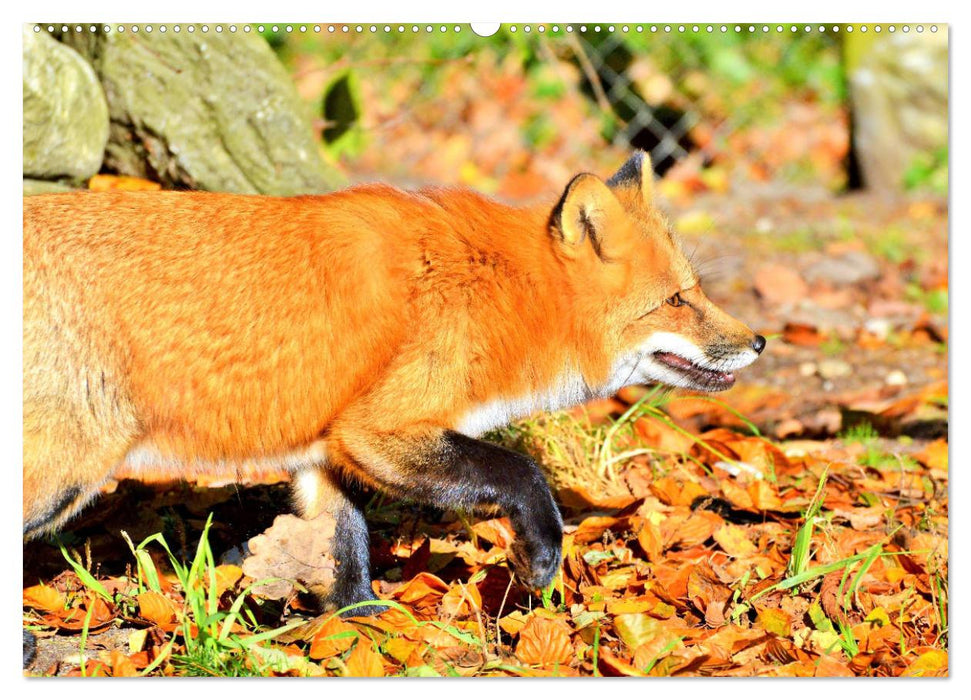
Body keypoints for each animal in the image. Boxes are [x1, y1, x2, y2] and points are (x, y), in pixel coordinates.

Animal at [22, 154, 764, 616]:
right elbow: (522, 473)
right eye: (676, 301)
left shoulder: (330, 445)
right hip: (67, 469)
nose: (758, 341)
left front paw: (361, 620)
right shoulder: (377, 428)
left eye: (694, 292)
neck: (495, 292)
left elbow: (344, 539)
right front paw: (541, 559)